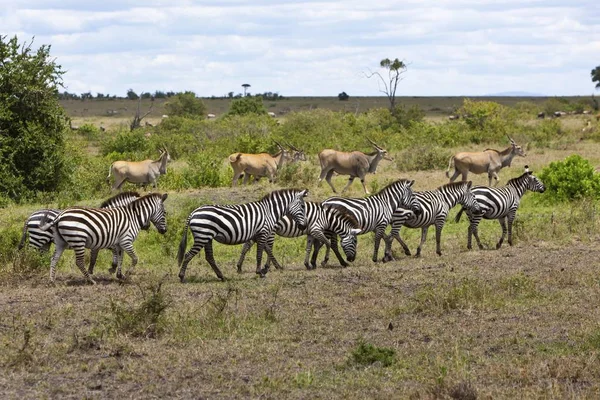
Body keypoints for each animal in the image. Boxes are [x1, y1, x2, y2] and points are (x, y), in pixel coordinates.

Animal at [177, 188, 310, 280]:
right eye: (303, 206)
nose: (304, 226)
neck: (269, 212)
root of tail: (193, 212)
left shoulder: (257, 234)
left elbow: (267, 250)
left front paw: (270, 268)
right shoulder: (263, 232)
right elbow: (260, 254)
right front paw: (260, 272)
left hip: (207, 237)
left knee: (209, 257)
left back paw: (222, 277)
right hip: (202, 236)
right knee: (188, 255)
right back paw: (182, 276)